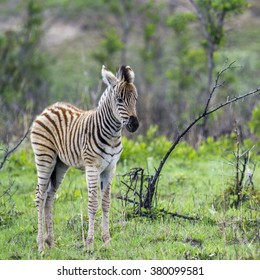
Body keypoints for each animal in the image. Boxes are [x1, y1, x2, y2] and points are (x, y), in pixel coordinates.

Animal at [30, 65, 139, 252]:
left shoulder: (110, 168)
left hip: (60, 165)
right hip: (45, 158)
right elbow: (93, 204)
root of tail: (48, 108)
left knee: (49, 197)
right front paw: (89, 244)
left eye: (135, 99)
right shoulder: (92, 167)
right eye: (119, 100)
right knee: (40, 195)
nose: (134, 125)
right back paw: (40, 245)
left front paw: (107, 241)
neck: (112, 134)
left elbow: (106, 203)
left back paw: (50, 242)